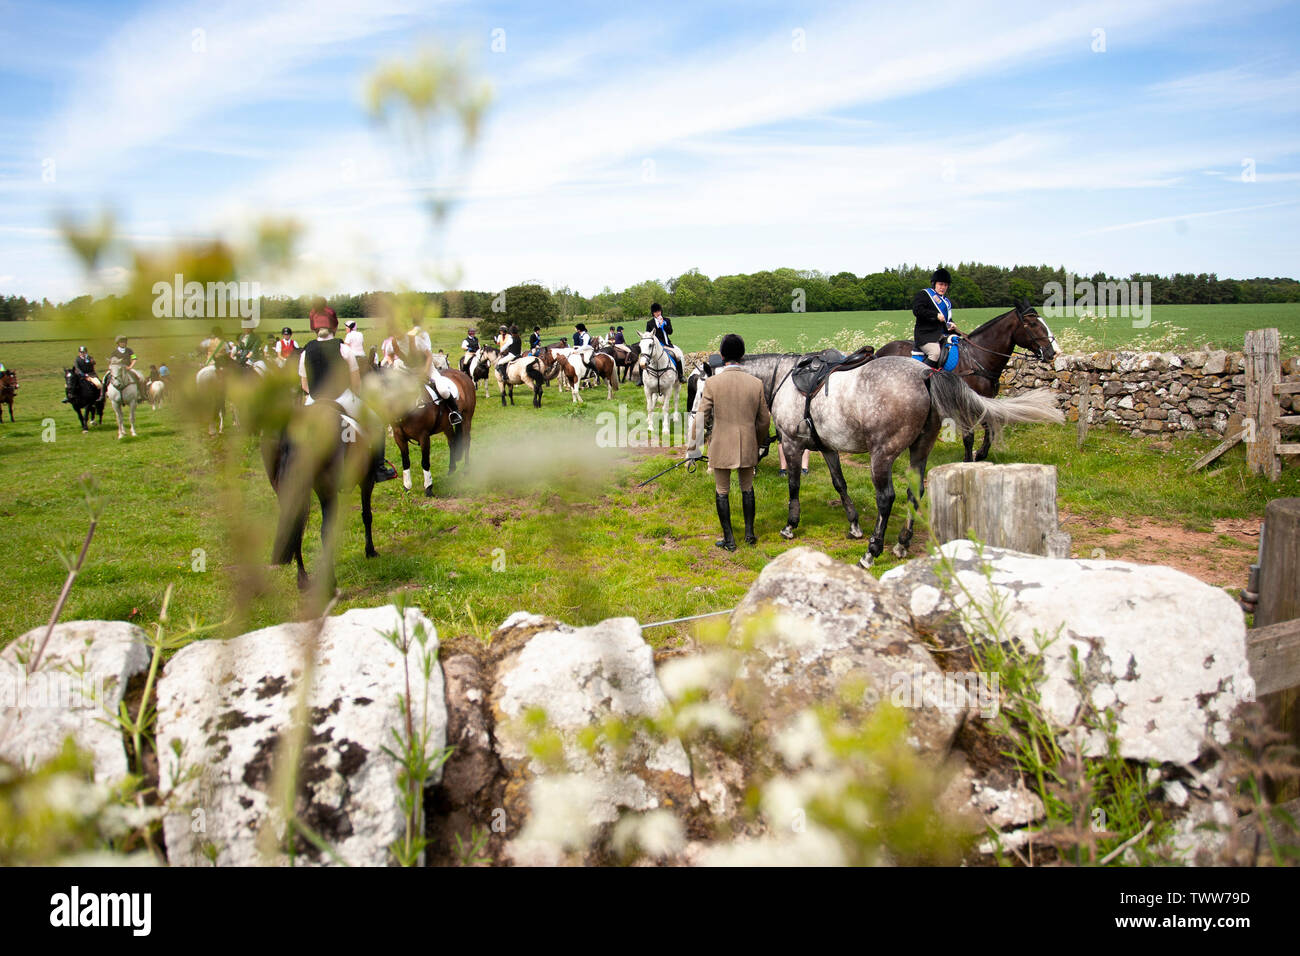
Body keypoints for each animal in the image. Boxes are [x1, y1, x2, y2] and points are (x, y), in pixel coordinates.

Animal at [764, 358, 1060, 567]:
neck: (783, 379)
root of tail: (926, 374)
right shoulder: (827, 447)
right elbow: (840, 483)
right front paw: (854, 525)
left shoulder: (791, 443)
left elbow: (793, 484)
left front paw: (790, 525)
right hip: (920, 448)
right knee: (914, 492)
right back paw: (902, 543)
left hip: (882, 455)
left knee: (886, 498)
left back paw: (872, 552)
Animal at [873, 300, 1055, 463]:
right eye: (1032, 323)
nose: (1051, 353)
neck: (977, 357)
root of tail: (880, 351)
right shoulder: (964, 403)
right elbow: (969, 435)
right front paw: (968, 460)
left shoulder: (984, 401)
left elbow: (990, 428)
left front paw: (980, 454)